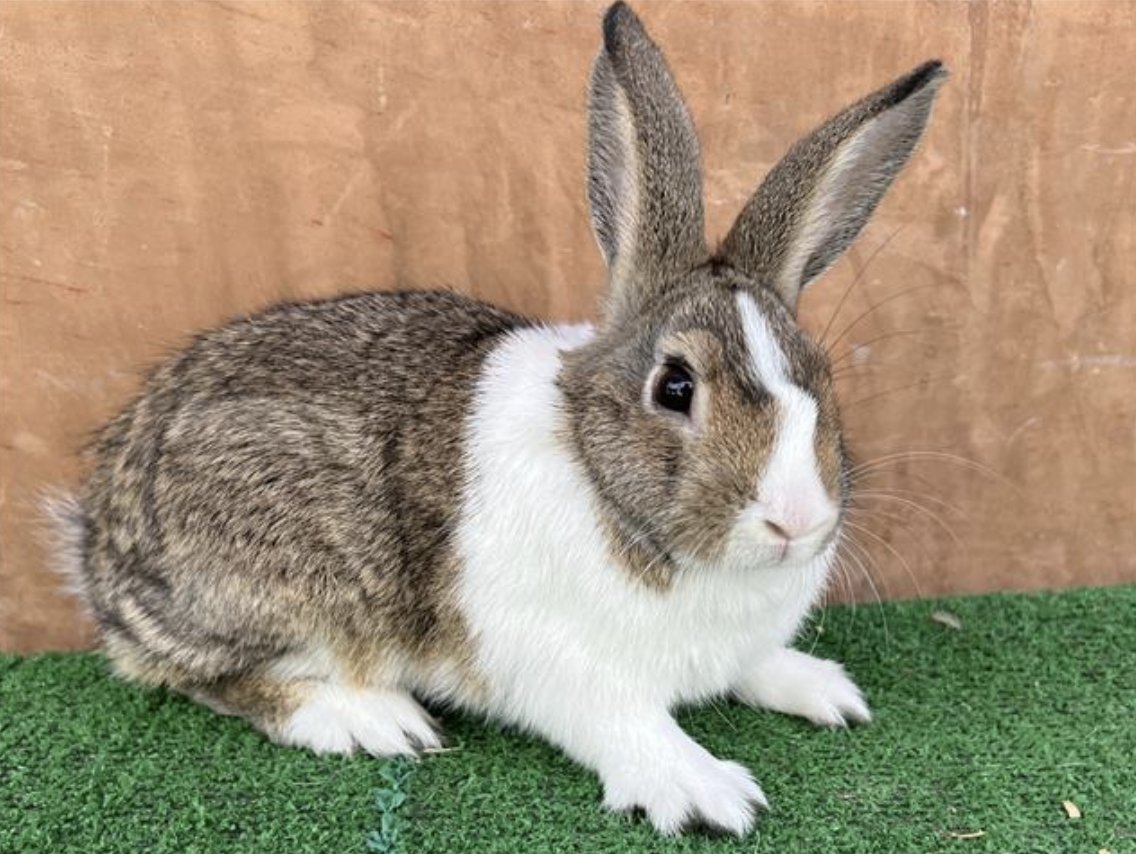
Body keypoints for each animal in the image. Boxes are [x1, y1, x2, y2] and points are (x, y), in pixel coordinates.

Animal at [48, 1, 946, 837]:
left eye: (820, 376)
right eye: (675, 387)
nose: (797, 522)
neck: (599, 475)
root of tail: (98, 551)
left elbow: (753, 666)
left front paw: (825, 689)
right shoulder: (562, 663)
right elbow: (626, 724)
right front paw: (705, 793)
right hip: (281, 584)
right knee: (217, 678)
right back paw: (371, 719)